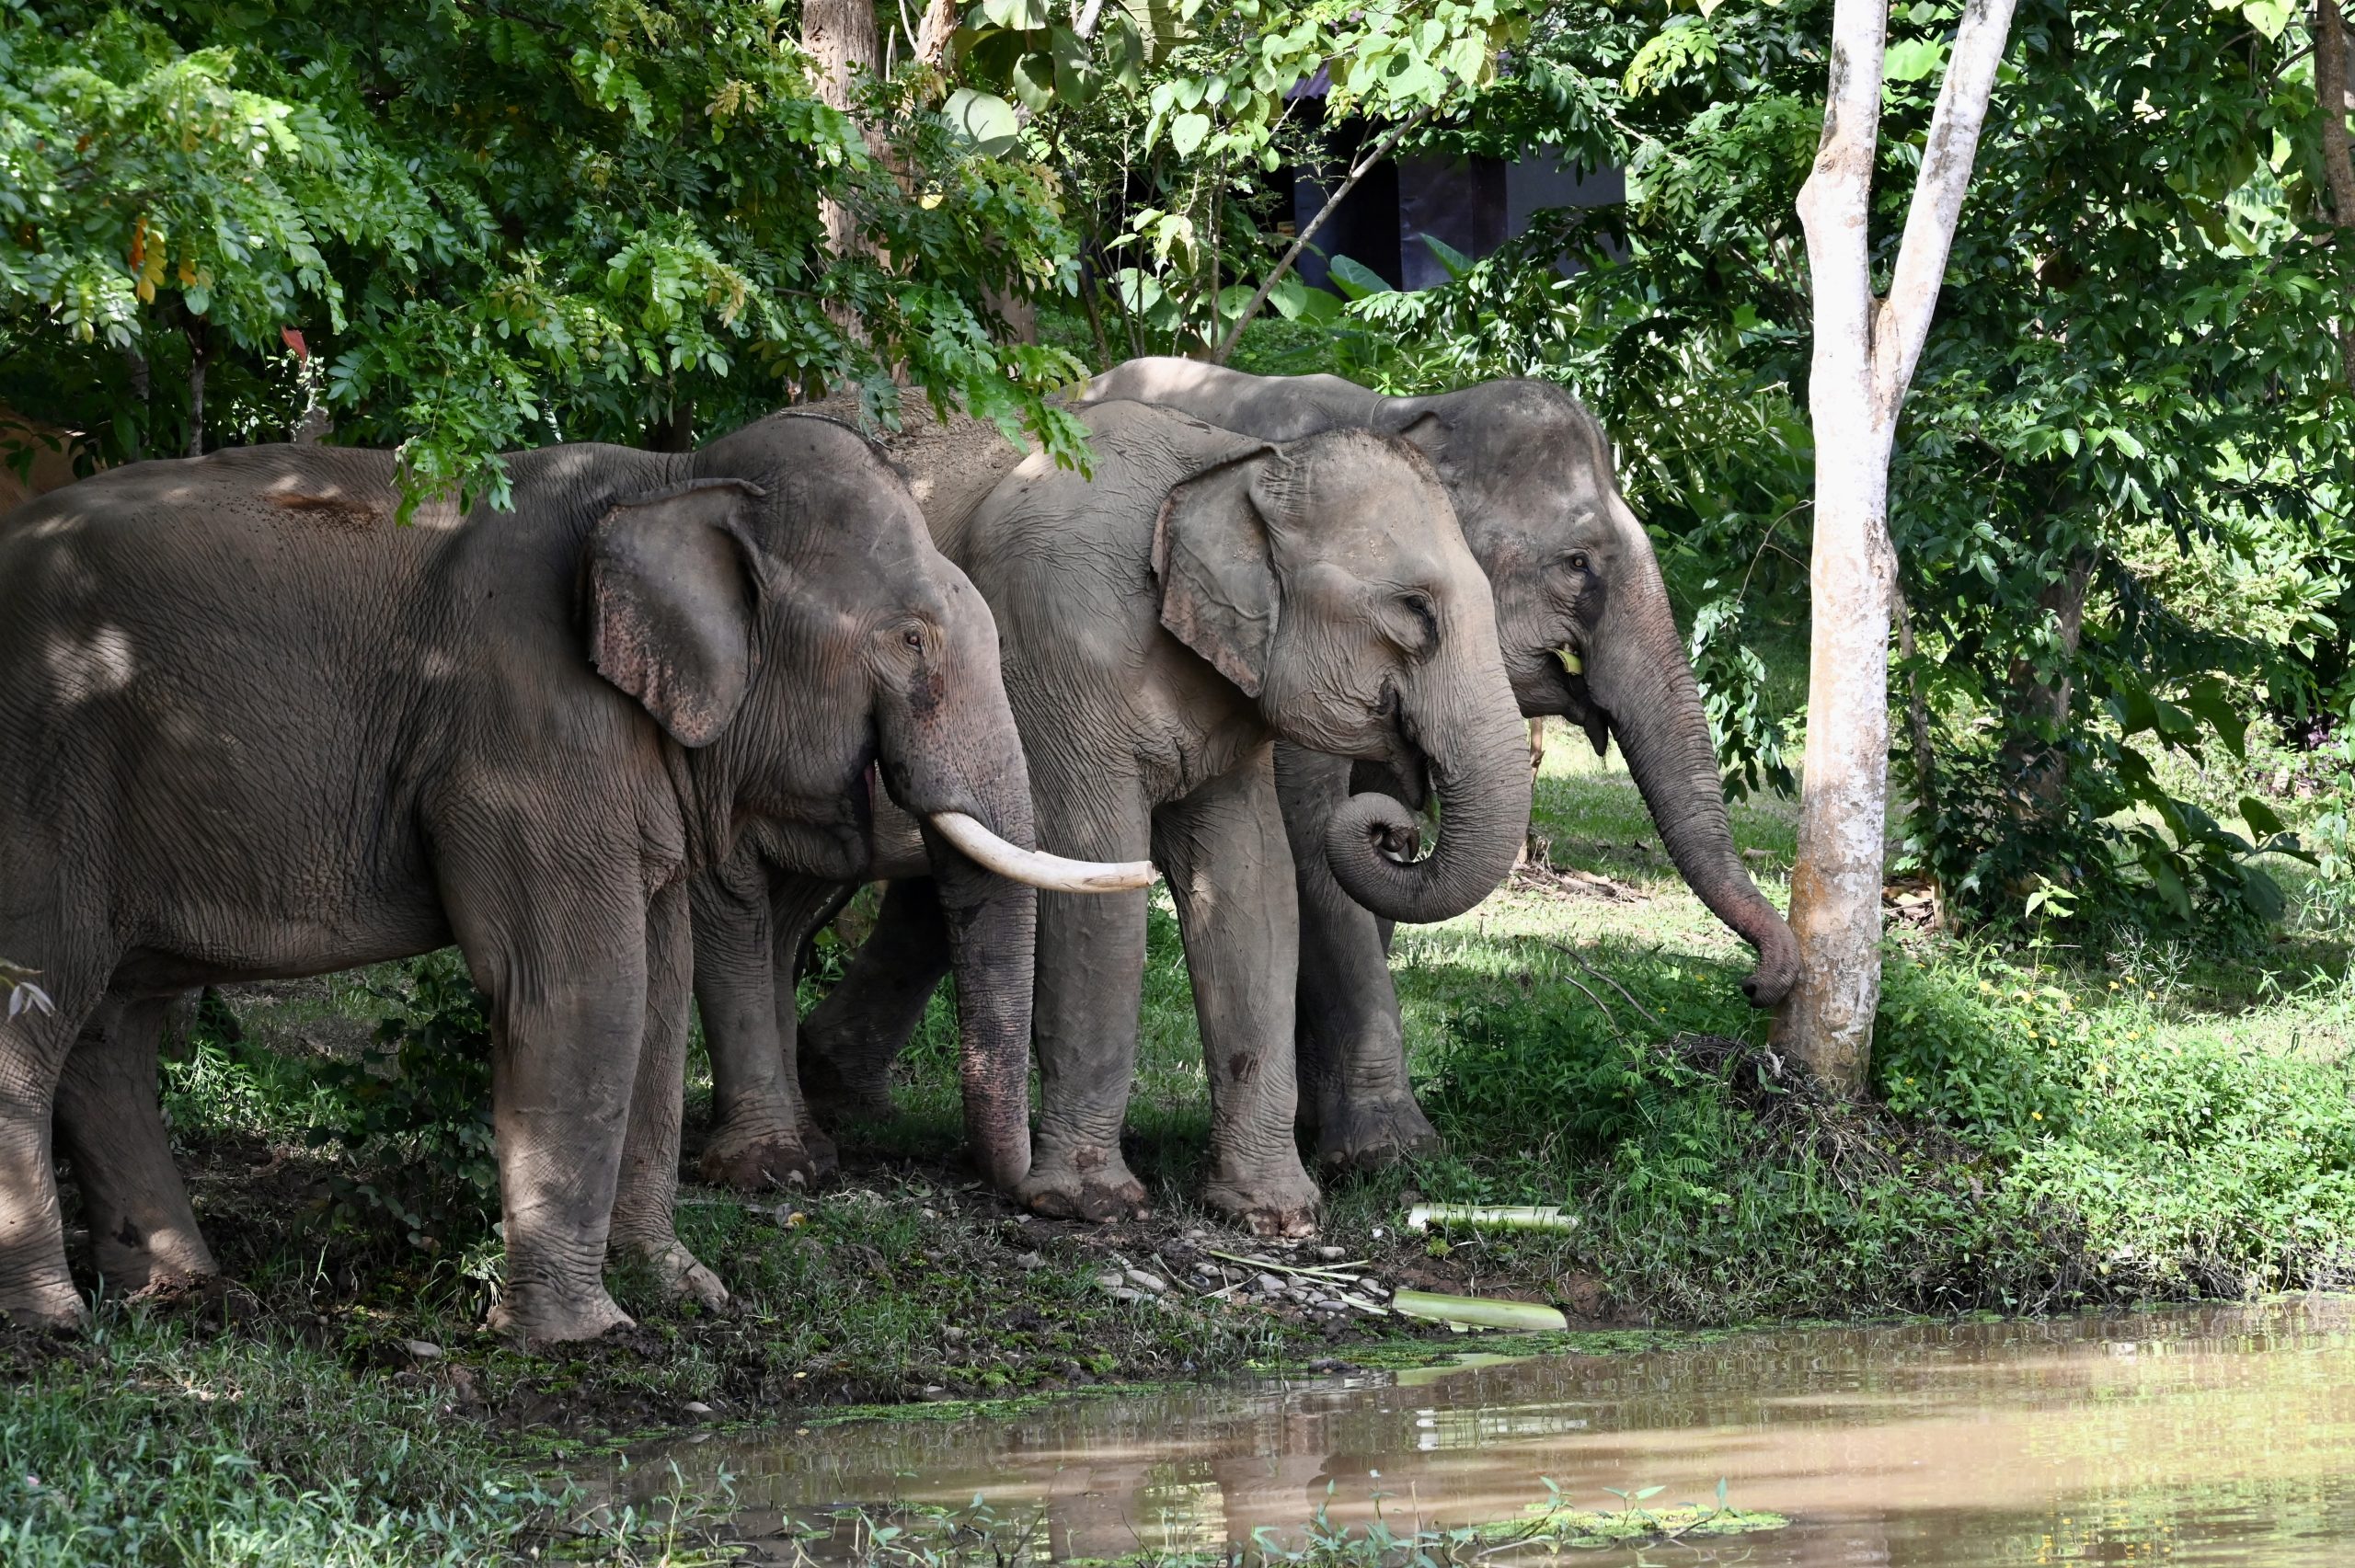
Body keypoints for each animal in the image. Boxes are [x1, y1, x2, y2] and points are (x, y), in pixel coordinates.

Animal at [0, 411, 1129, 1337]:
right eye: (909, 639)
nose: (1034, 1203)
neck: (672, 479)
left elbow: (660, 993)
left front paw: (684, 1289)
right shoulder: (527, 733)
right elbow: (583, 988)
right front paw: (582, 1336)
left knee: (111, 1025)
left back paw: (181, 1293)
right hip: (42, 787)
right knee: (38, 1007)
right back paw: (53, 1325)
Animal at [693, 396, 1532, 1235]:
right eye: (1414, 609)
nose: (1395, 825)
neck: (1231, 463)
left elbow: (1253, 887)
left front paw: (1274, 1214)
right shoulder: (1063, 655)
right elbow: (1098, 877)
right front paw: (1087, 1205)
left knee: (786, 908)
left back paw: (807, 1138)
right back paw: (777, 1158)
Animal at [1069, 360, 1801, 1168]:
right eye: (1577, 563)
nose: (1761, 984)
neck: (1415, 414)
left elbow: (1382, 877)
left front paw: (1327, 1135)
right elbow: (1311, 840)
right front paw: (1390, 1149)